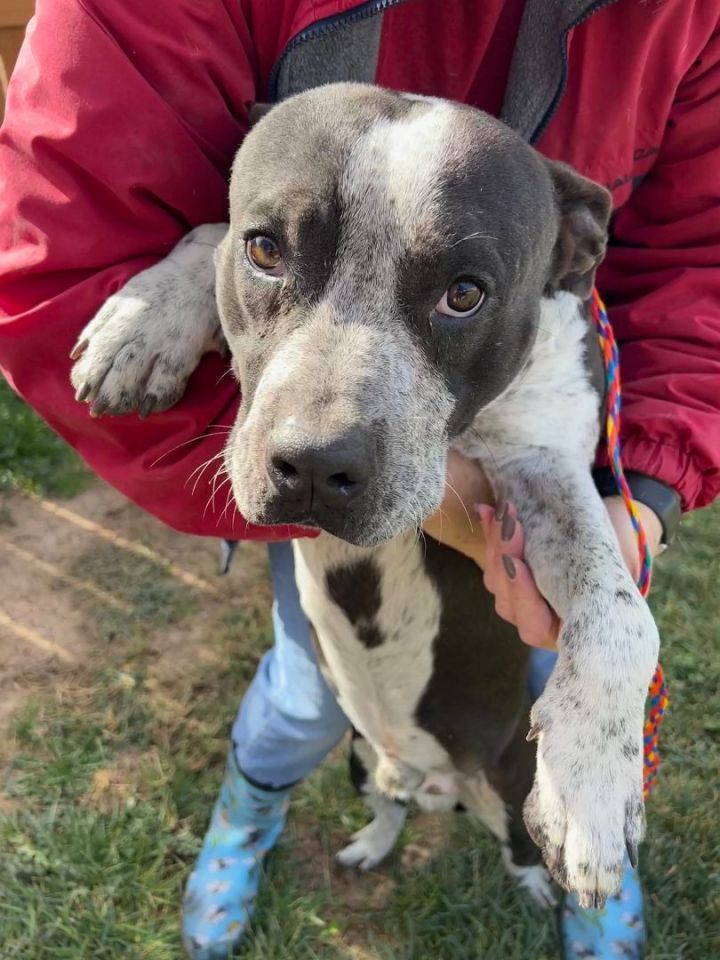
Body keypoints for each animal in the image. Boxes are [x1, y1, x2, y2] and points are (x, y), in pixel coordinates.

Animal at [70, 82, 660, 908]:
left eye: (466, 294)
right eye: (266, 250)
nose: (315, 465)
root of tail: (430, 779)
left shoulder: (541, 466)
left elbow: (619, 616)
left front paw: (592, 791)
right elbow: (208, 229)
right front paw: (144, 317)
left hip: (502, 781)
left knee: (509, 840)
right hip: (358, 759)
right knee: (388, 808)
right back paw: (371, 845)